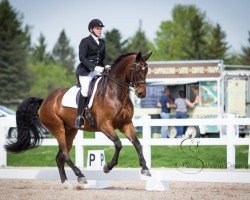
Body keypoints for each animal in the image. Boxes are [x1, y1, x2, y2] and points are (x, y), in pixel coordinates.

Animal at [5, 51, 152, 184]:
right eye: (137, 70)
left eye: (146, 70)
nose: (141, 93)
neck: (115, 92)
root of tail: (45, 101)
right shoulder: (104, 125)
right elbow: (118, 144)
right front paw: (107, 167)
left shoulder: (125, 123)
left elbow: (137, 143)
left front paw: (145, 168)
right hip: (58, 128)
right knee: (65, 154)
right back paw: (80, 176)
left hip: (70, 131)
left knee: (59, 157)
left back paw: (66, 183)